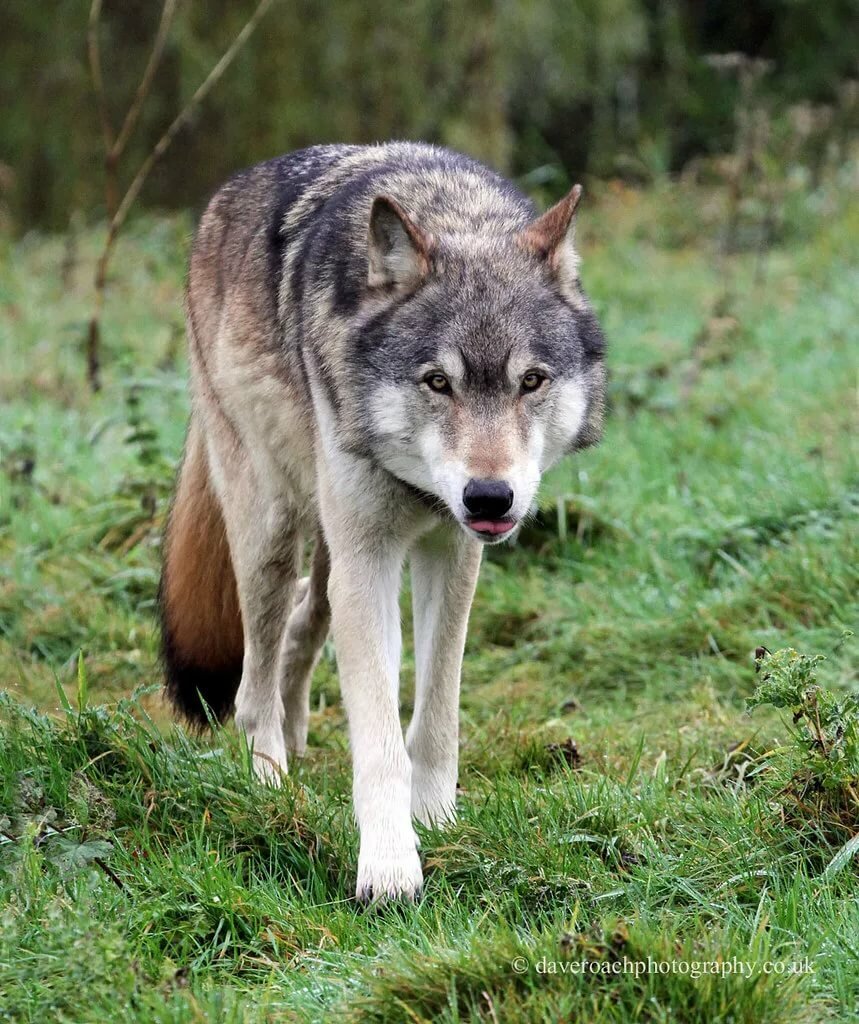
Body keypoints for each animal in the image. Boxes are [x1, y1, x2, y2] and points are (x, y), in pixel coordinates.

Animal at [159, 142, 606, 897]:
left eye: (531, 381)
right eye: (437, 382)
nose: (489, 498)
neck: (450, 210)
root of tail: (222, 197)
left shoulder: (451, 557)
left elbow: (435, 718)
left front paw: (437, 820)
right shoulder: (369, 562)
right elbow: (379, 740)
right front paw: (391, 865)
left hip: (327, 554)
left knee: (305, 622)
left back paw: (298, 743)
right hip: (271, 534)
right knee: (253, 683)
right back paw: (270, 787)